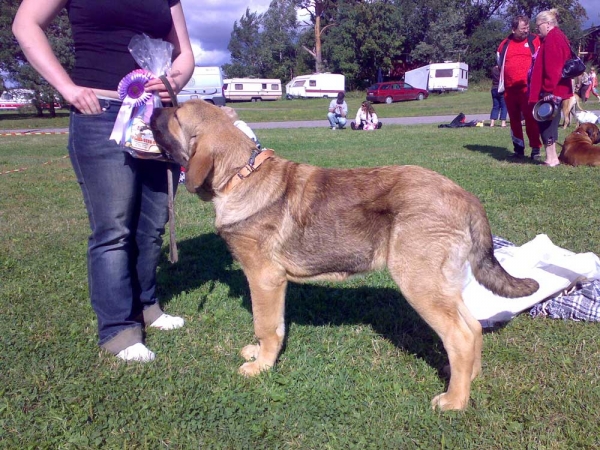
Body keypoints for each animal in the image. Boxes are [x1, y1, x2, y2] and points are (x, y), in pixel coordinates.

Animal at [149, 100, 540, 410]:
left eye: (176, 114)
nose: (152, 107)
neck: (239, 176)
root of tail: (466, 196)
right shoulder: (274, 283)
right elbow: (275, 325)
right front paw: (260, 355)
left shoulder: (263, 278)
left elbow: (266, 325)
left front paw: (261, 365)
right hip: (441, 285)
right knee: (472, 328)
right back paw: (469, 379)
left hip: (419, 282)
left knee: (460, 336)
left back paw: (454, 401)